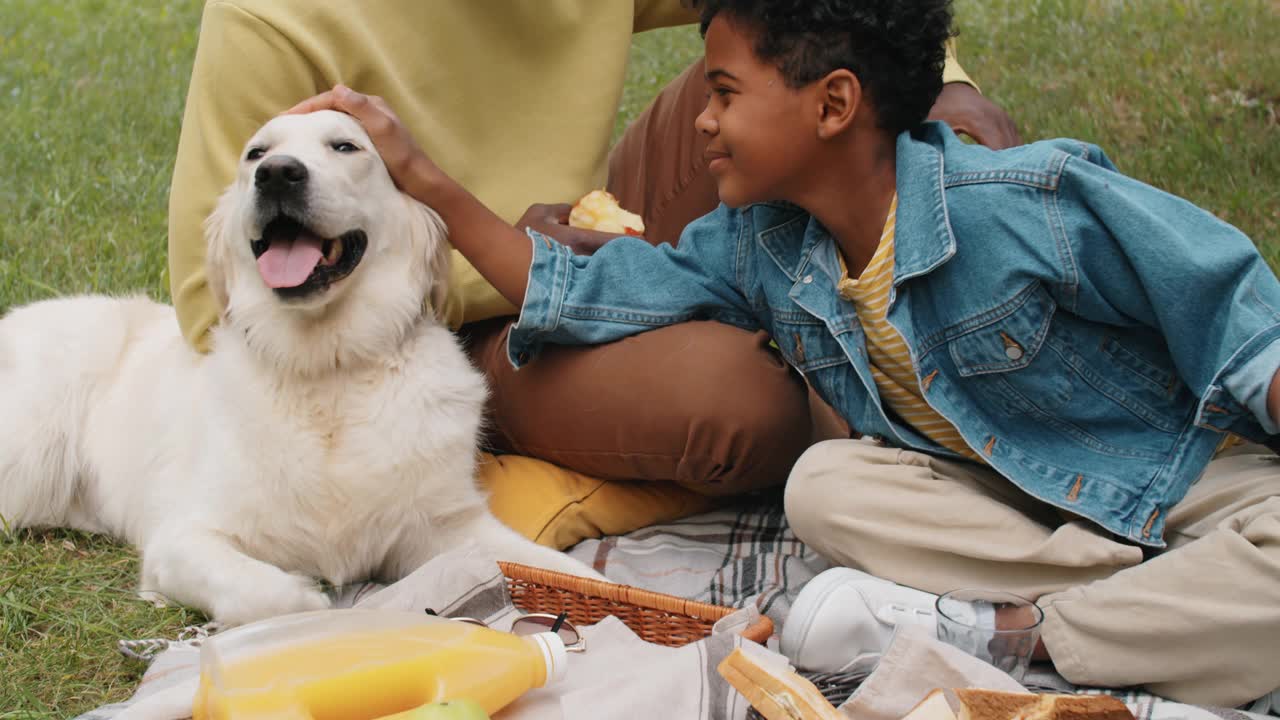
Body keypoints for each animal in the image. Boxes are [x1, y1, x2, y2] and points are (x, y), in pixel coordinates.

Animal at [1, 110, 604, 622]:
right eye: (255, 154)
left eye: (346, 146)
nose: (277, 175)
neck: (327, 372)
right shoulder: (183, 538)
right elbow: (279, 599)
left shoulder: (449, 527)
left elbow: (570, 573)